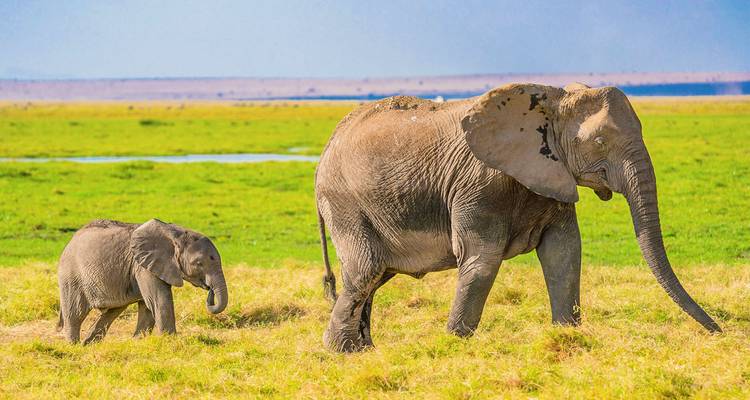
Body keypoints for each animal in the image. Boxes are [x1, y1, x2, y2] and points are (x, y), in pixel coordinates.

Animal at [56, 218, 228, 344]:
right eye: (199, 263)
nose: (209, 289)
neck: (176, 234)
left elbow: (148, 306)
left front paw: (138, 342)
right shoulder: (143, 267)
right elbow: (160, 300)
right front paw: (170, 341)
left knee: (112, 312)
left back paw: (88, 344)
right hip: (71, 277)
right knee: (75, 313)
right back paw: (74, 346)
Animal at [315, 82, 721, 352]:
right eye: (600, 142)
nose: (719, 332)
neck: (553, 101)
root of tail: (327, 146)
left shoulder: (552, 173)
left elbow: (564, 253)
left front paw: (567, 336)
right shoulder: (478, 184)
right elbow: (481, 260)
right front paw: (455, 346)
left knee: (374, 275)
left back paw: (362, 350)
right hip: (345, 202)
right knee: (365, 271)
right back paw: (342, 353)